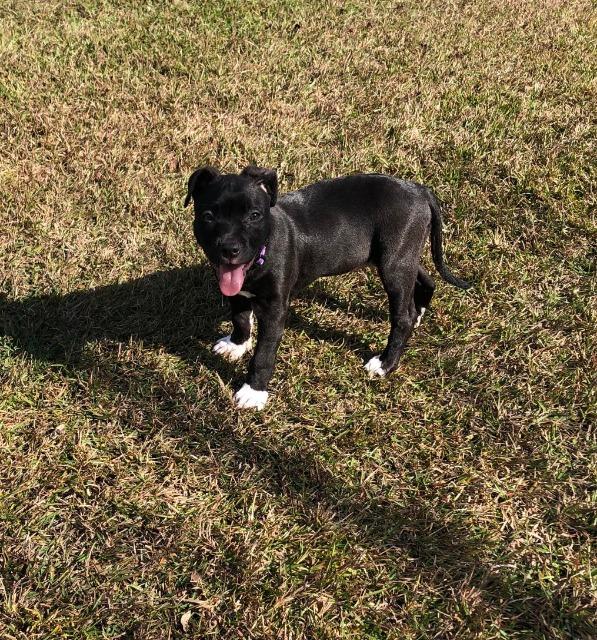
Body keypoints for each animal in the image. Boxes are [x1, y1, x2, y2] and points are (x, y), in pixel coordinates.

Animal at [185, 165, 470, 409]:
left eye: (254, 216)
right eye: (208, 217)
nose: (229, 249)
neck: (262, 254)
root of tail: (418, 189)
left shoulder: (274, 310)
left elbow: (264, 353)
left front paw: (253, 392)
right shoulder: (237, 292)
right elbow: (241, 319)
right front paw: (237, 344)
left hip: (394, 264)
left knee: (402, 317)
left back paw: (385, 363)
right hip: (399, 256)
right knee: (425, 281)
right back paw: (419, 312)